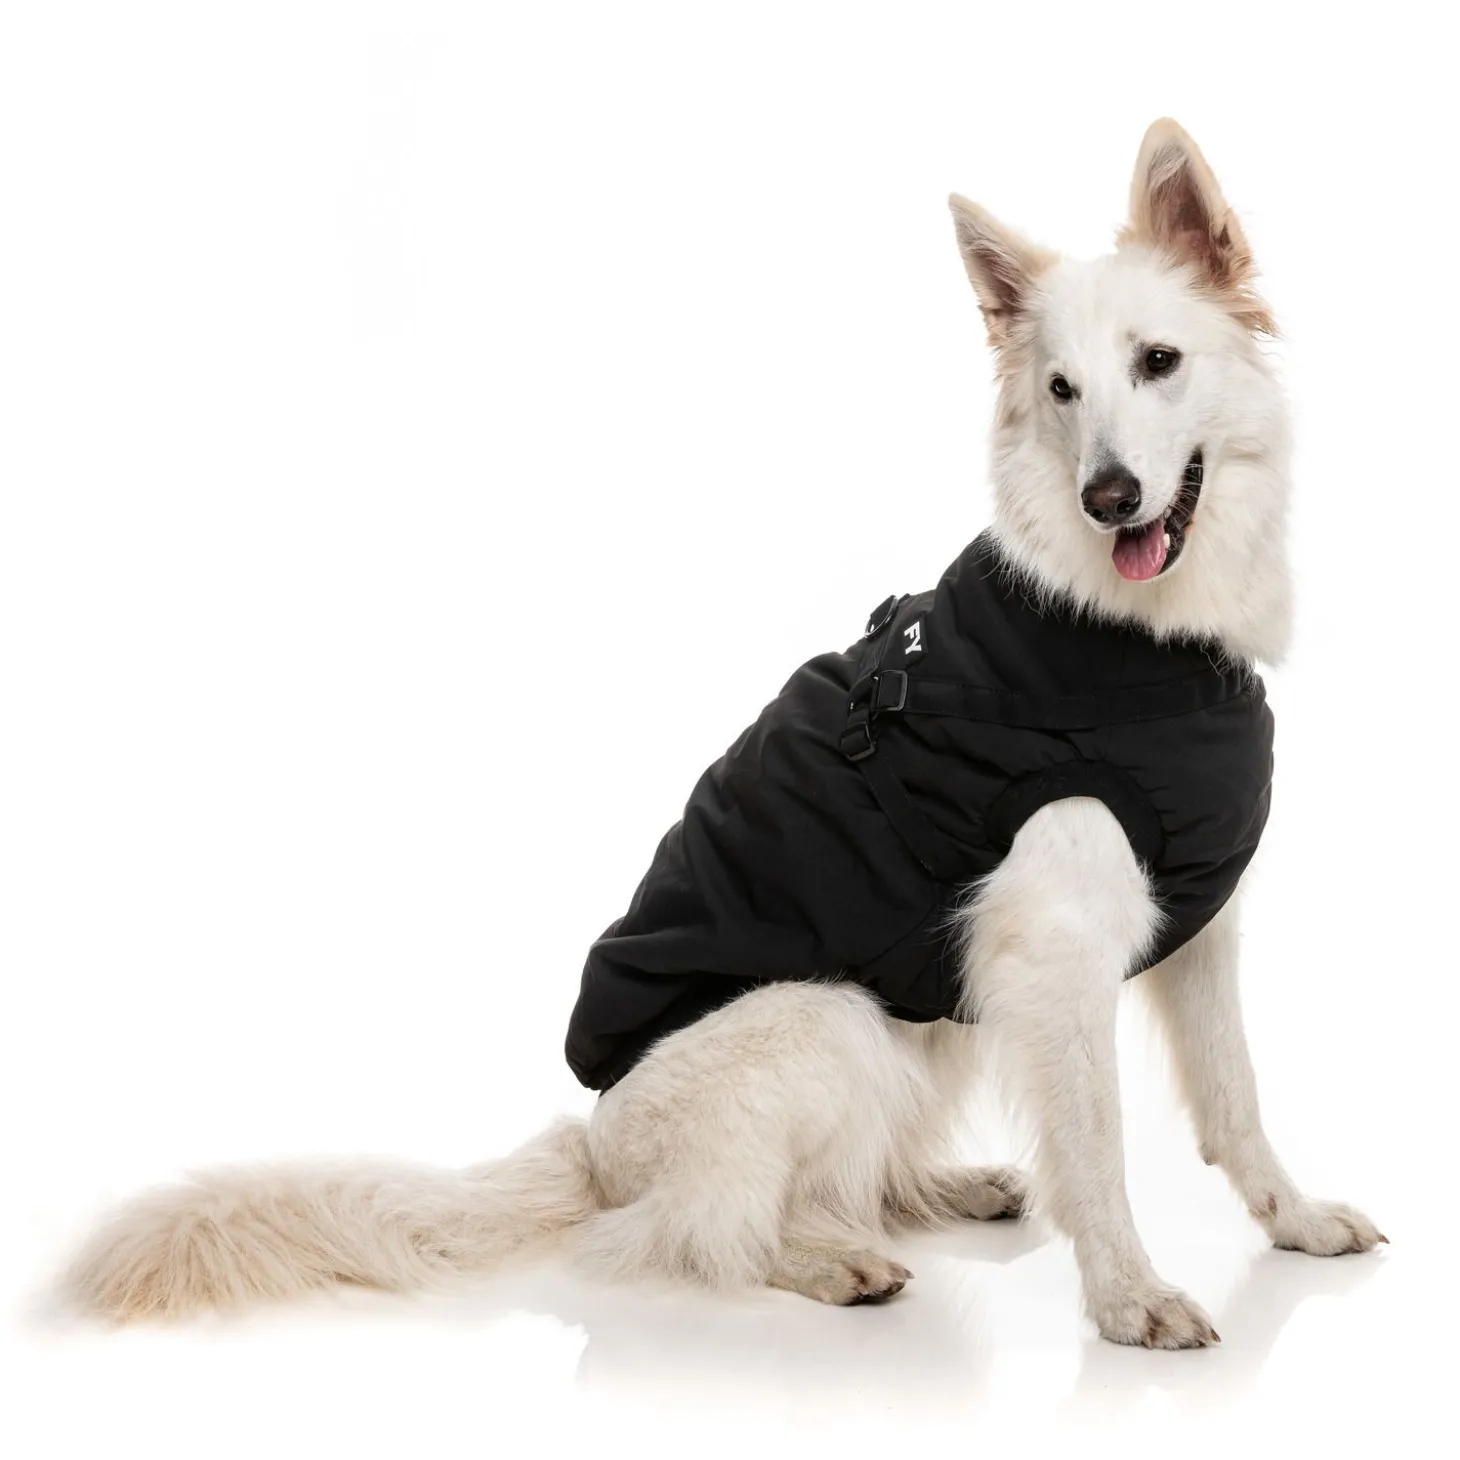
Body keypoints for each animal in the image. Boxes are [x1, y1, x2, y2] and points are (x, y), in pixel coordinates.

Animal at [66, 119, 1383, 1348]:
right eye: (1059, 390)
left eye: (1157, 363)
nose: (1106, 497)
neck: (1135, 635)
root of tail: (594, 1146)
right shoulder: (1049, 956)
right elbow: (1097, 1143)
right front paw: (1126, 1295)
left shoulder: (1192, 926)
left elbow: (1233, 1094)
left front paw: (1292, 1219)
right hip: (832, 1019)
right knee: (698, 1225)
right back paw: (823, 1259)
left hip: (923, 1018)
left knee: (839, 1179)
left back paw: (932, 1190)